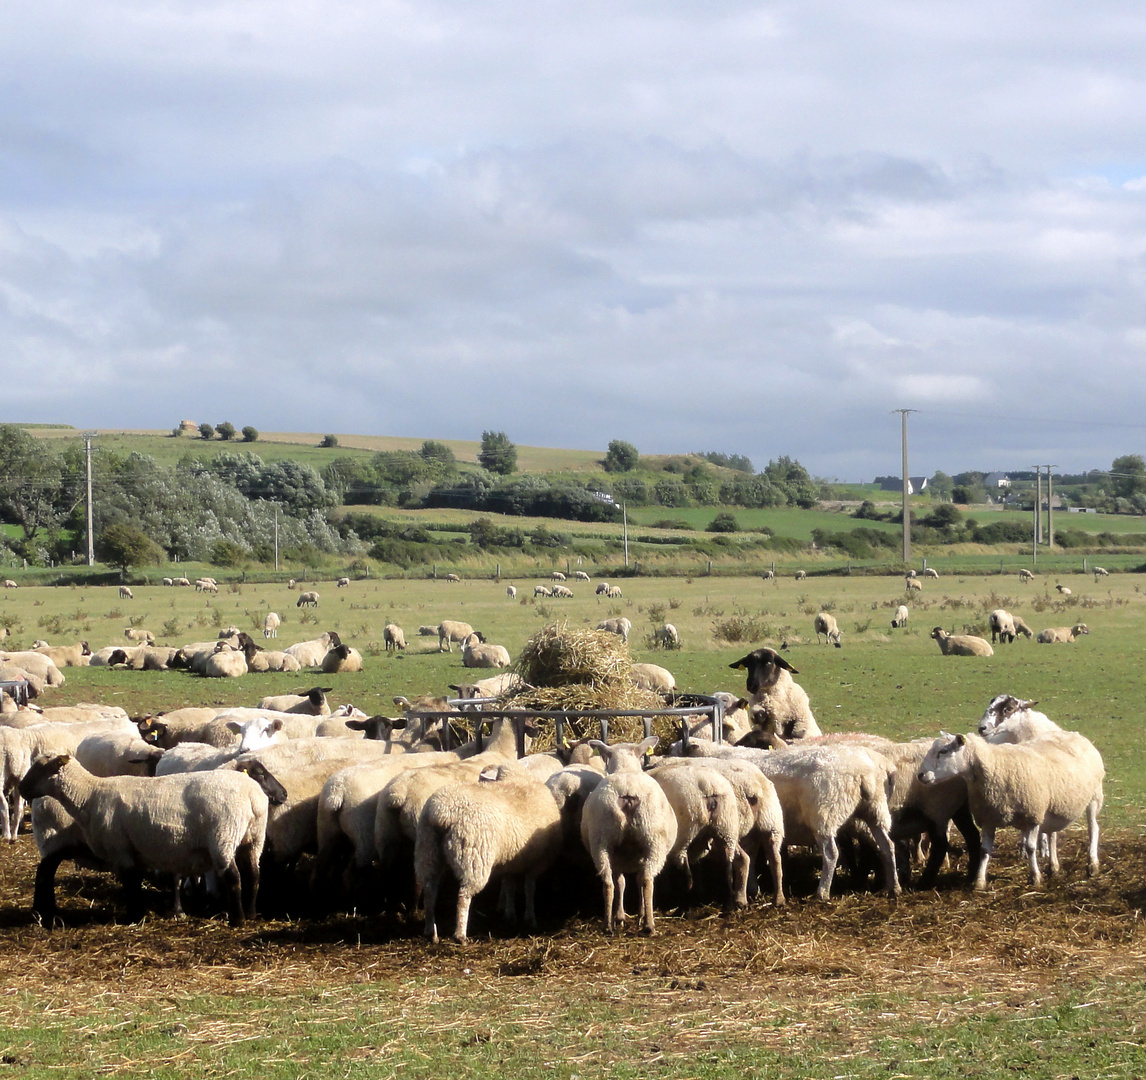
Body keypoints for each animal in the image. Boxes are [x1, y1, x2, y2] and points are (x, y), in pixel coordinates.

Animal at [419, 761, 566, 944]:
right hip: (473, 856)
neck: (519, 779)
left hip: (428, 850)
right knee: (463, 896)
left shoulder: (512, 860)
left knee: (429, 891)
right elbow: (529, 887)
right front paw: (530, 918)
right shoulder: (537, 860)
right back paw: (460, 935)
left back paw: (430, 931)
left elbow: (510, 887)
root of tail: (443, 813)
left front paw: (510, 915)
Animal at [582, 738, 678, 935]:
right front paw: (639, 915)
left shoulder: (620, 858)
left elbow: (622, 882)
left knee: (608, 882)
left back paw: (608, 925)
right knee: (648, 880)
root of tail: (627, 793)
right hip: (654, 840)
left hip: (601, 841)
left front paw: (620, 917)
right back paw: (649, 925)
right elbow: (637, 880)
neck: (626, 768)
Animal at [916, 729, 1104, 894]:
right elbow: (984, 851)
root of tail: (1075, 734)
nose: (920, 775)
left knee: (1093, 829)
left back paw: (1092, 864)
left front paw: (1035, 878)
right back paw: (1053, 867)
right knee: (1052, 834)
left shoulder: (1033, 815)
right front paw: (979, 882)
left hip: (1094, 797)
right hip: (1054, 805)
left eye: (943, 751)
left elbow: (1030, 848)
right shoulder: (988, 818)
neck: (995, 766)